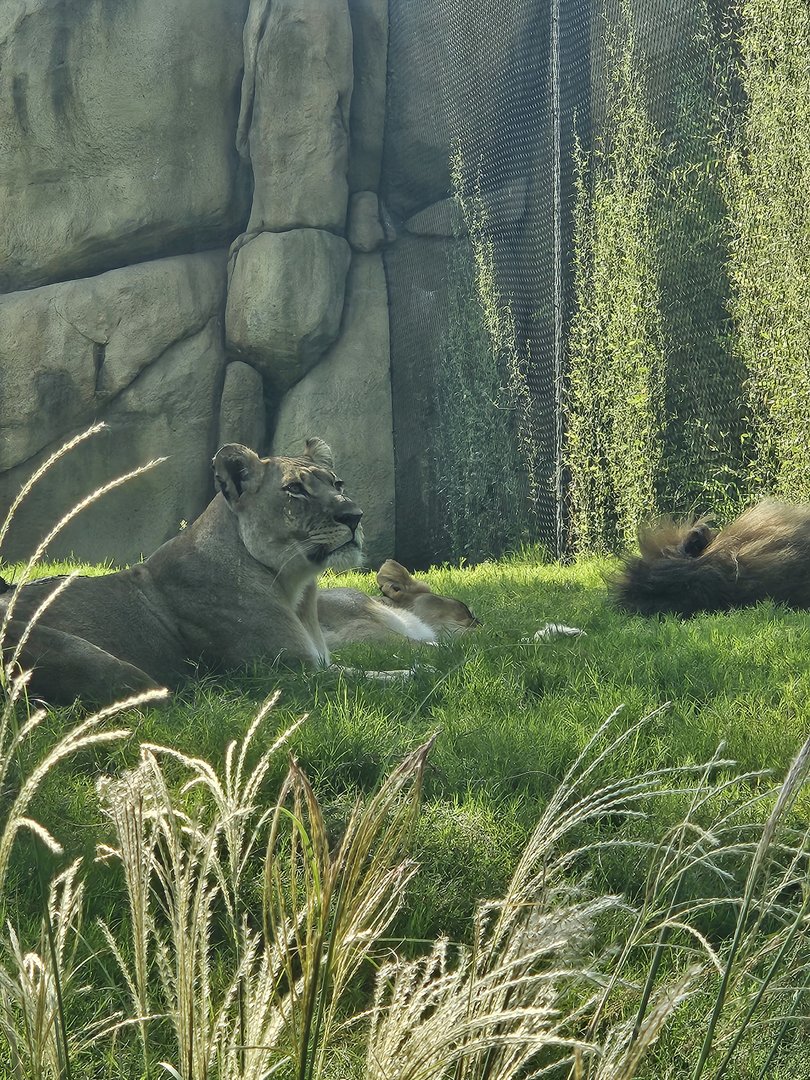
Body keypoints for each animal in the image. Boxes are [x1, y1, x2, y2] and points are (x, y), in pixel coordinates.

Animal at [0, 438, 364, 705]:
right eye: (295, 490)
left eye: (338, 484)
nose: (355, 515)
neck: (295, 589)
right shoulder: (290, 673)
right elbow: (373, 679)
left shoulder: (319, 665)